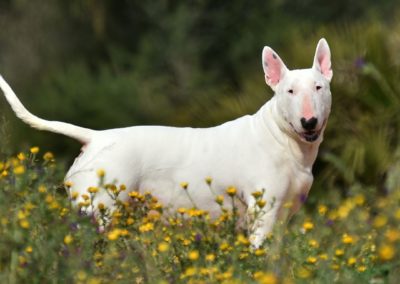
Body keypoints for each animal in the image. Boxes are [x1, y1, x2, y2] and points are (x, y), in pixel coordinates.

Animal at [0, 37, 332, 246]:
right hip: (98, 209)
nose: (309, 122)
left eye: (319, 87)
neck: (284, 140)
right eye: (289, 91)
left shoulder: (283, 216)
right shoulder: (262, 214)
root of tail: (96, 137)